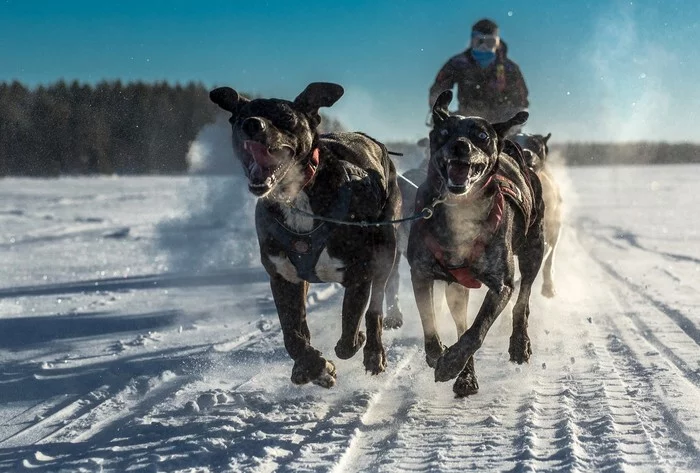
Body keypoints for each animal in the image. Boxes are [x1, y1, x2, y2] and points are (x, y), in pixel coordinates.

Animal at [208, 82, 402, 388]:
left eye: (286, 117)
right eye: (241, 118)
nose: (252, 125)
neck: (295, 196)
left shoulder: (359, 274)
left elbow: (350, 325)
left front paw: (353, 342)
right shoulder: (283, 276)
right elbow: (293, 333)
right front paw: (314, 368)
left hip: (386, 248)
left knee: (377, 308)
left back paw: (374, 352)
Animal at [404, 90, 548, 396]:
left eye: (481, 135)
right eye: (444, 132)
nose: (460, 146)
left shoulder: (501, 285)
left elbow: (477, 332)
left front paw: (450, 364)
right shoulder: (420, 273)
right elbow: (430, 323)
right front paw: (438, 355)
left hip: (533, 250)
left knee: (522, 300)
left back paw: (519, 343)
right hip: (457, 288)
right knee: (461, 323)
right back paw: (466, 376)